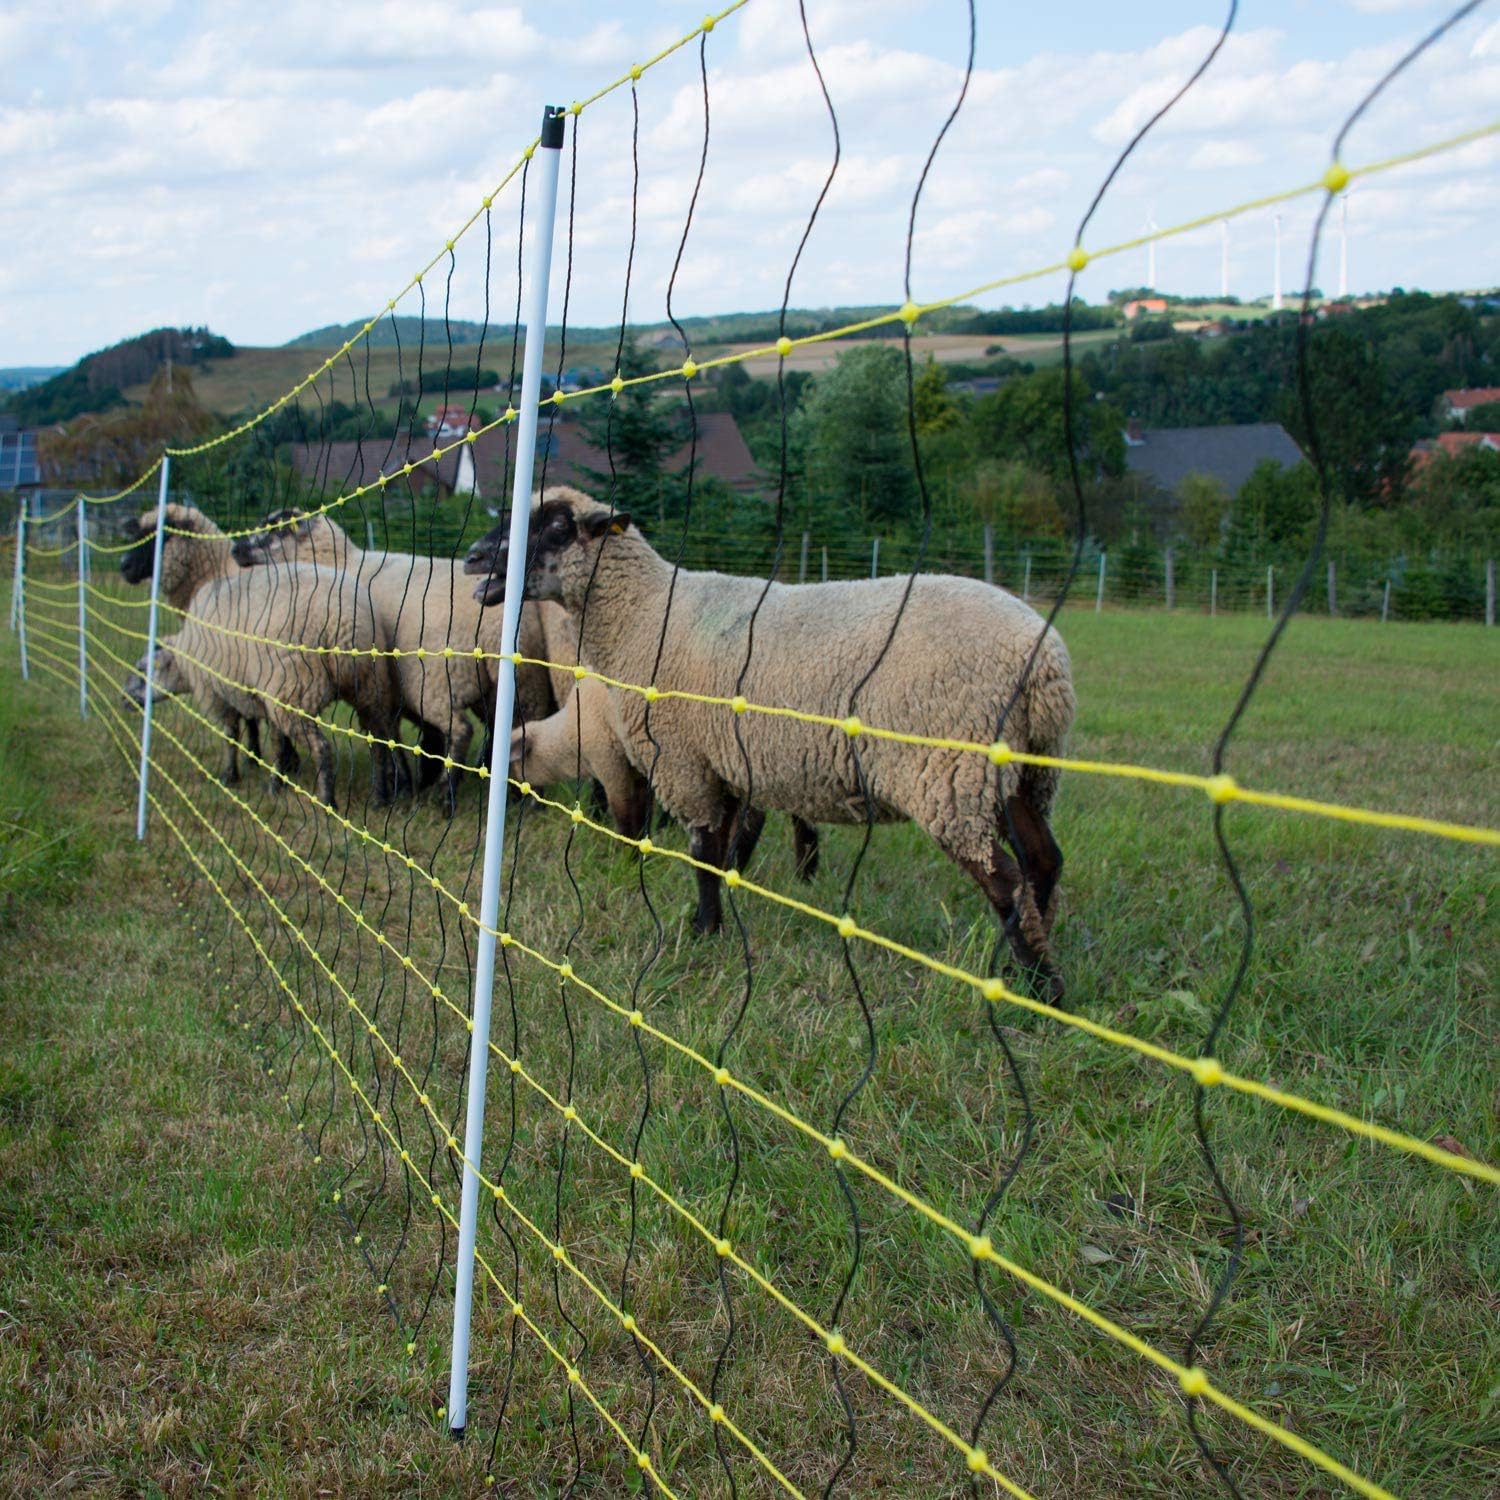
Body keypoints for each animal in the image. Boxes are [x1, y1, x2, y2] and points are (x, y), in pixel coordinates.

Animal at [120, 504, 402, 806]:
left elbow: (235, 730)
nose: (124, 567)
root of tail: (344, 615)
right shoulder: (255, 681)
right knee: (379, 740)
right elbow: (271, 732)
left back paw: (329, 800)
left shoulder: (225, 684)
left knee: (324, 747)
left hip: (295, 686)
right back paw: (380, 796)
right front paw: (278, 766)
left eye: (160, 536)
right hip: (368, 685)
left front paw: (240, 770)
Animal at [231, 508, 563, 811]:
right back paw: (528, 800)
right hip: (523, 684)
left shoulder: (387, 686)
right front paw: (409, 781)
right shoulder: (388, 688)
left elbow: (388, 734)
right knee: (523, 730)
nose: (235, 548)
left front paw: (400, 785)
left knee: (460, 730)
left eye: (274, 528)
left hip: (436, 680)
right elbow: (399, 734)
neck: (338, 562)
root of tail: (500, 623)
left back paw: (446, 798)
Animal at [466, 486, 1074, 1003]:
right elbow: (725, 851)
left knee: (1006, 881)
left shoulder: (684, 762)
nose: (473, 557)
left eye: (555, 528)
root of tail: (1044, 658)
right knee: (1043, 861)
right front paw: (716, 919)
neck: (642, 616)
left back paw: (1041, 987)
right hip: (1024, 772)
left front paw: (704, 930)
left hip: (950, 771)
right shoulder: (723, 764)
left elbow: (703, 852)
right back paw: (1030, 961)